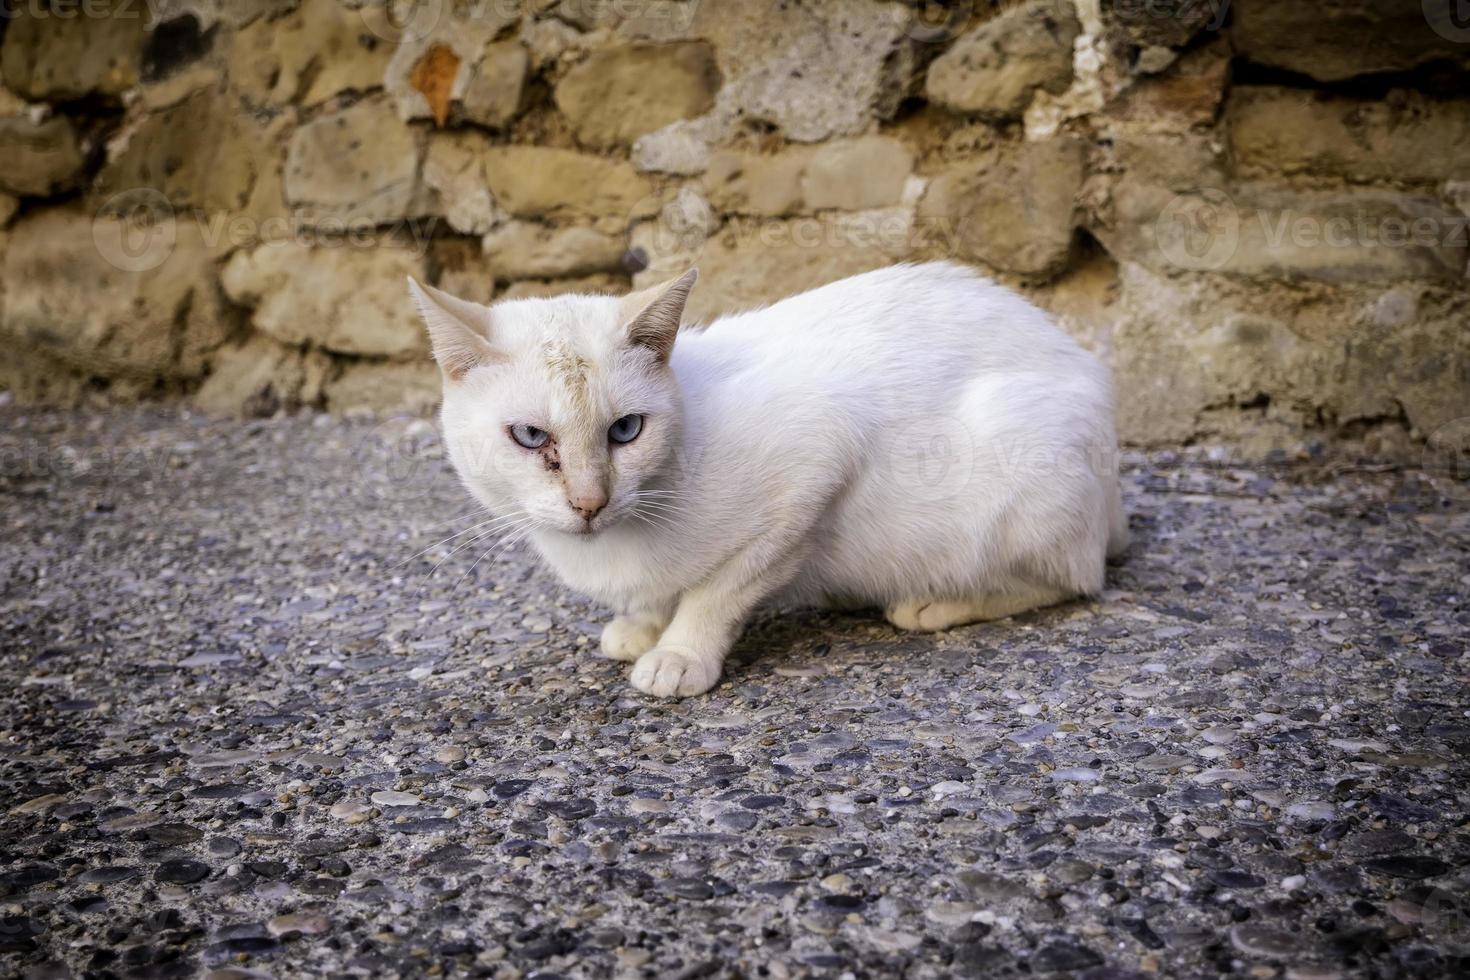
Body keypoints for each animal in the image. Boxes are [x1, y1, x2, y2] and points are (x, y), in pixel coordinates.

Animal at [408, 262, 1128, 696]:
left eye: (625, 431)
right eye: (532, 438)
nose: (590, 501)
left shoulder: (813, 469)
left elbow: (716, 592)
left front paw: (679, 652)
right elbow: (664, 594)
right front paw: (644, 622)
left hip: (1018, 477)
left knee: (1074, 578)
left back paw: (933, 602)